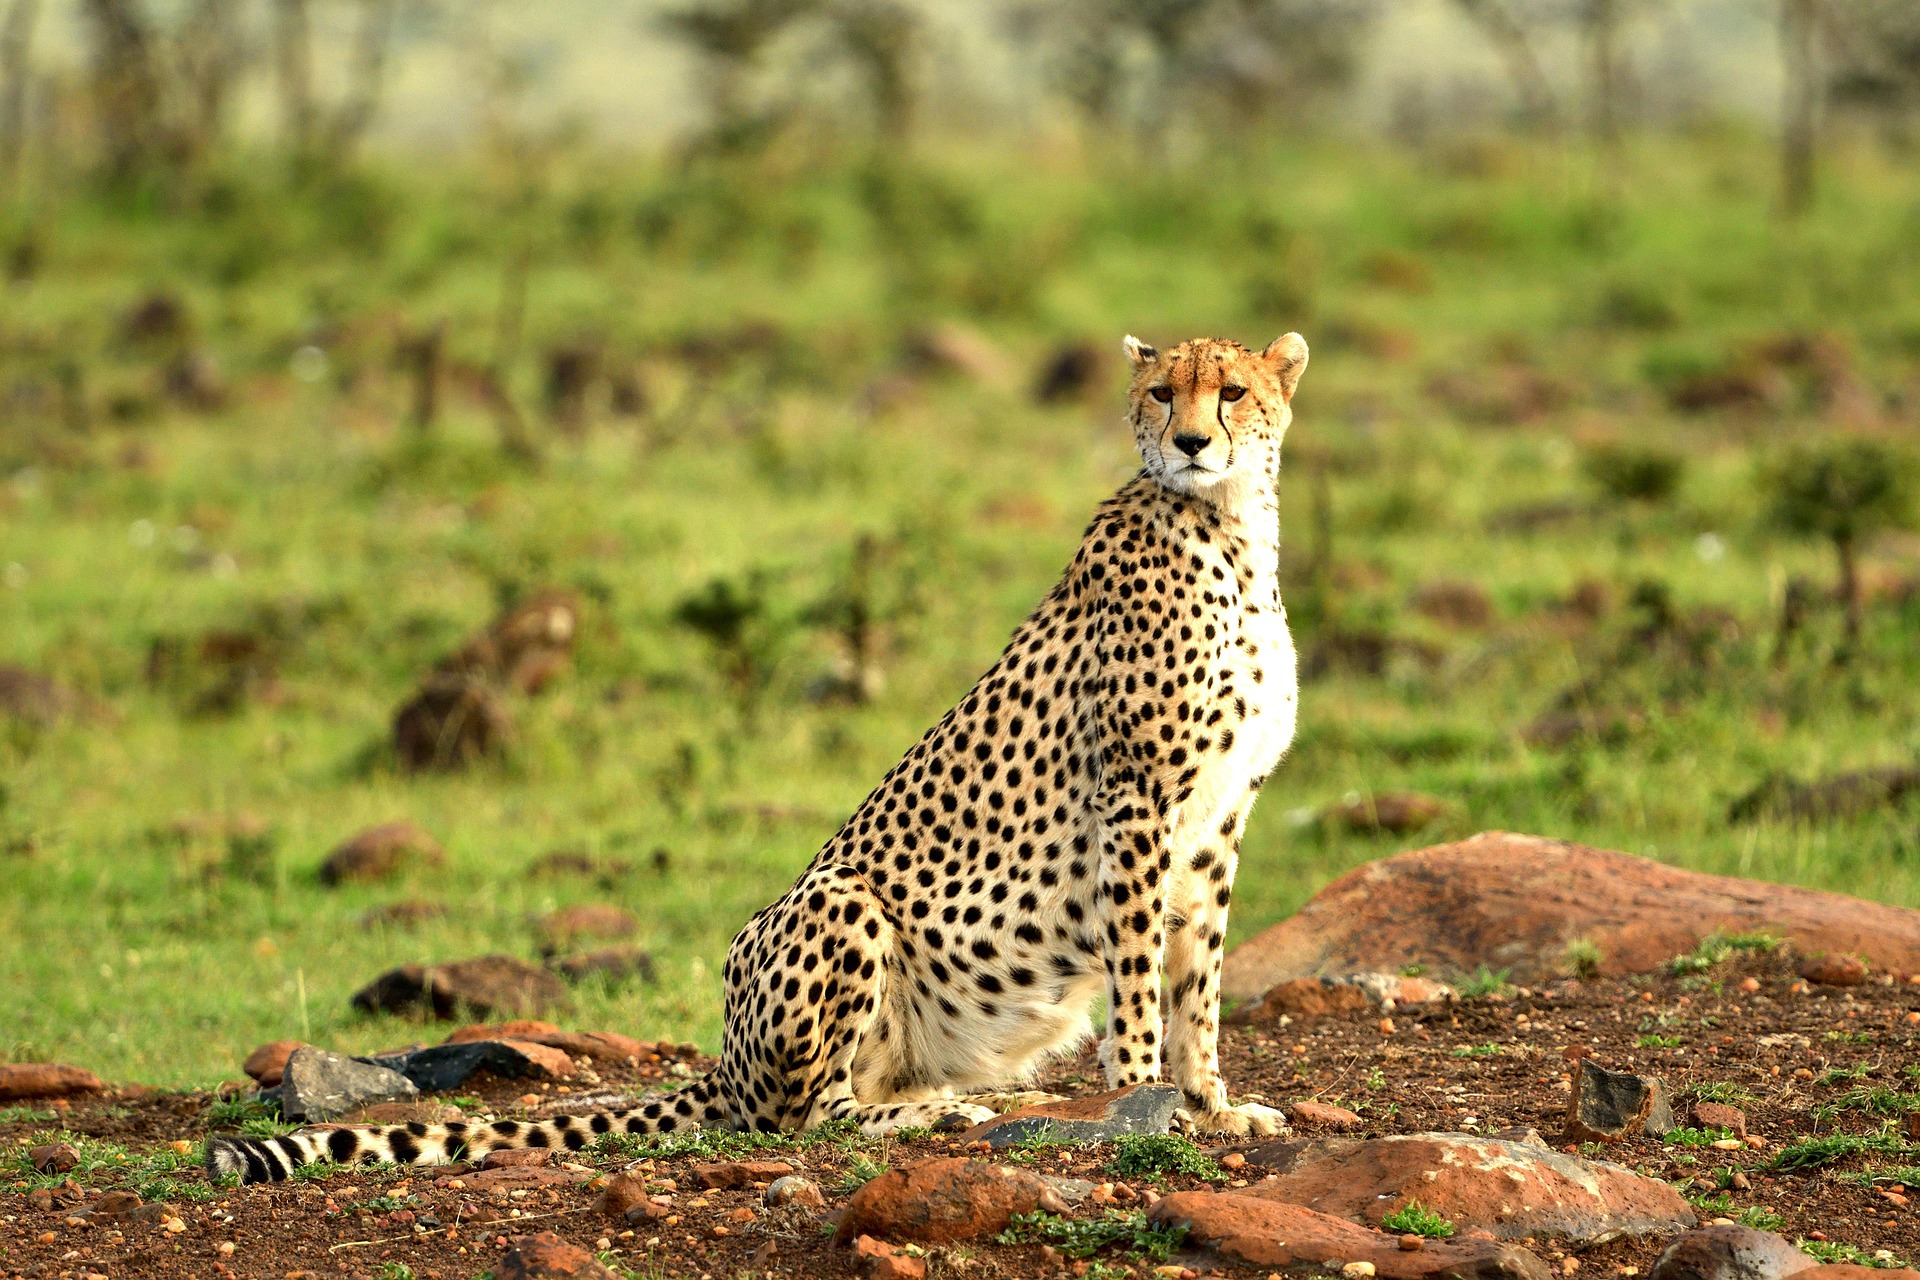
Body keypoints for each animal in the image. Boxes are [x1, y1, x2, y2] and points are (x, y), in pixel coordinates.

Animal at [208, 332, 1309, 1184]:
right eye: (1163, 392)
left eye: (1232, 391)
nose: (1193, 440)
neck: (1228, 530)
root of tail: (727, 1056)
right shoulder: (1138, 797)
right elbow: (1140, 969)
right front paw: (1140, 1094)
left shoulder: (1219, 816)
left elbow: (1197, 975)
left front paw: (1209, 1101)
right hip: (841, 903)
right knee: (802, 1113)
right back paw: (933, 1112)